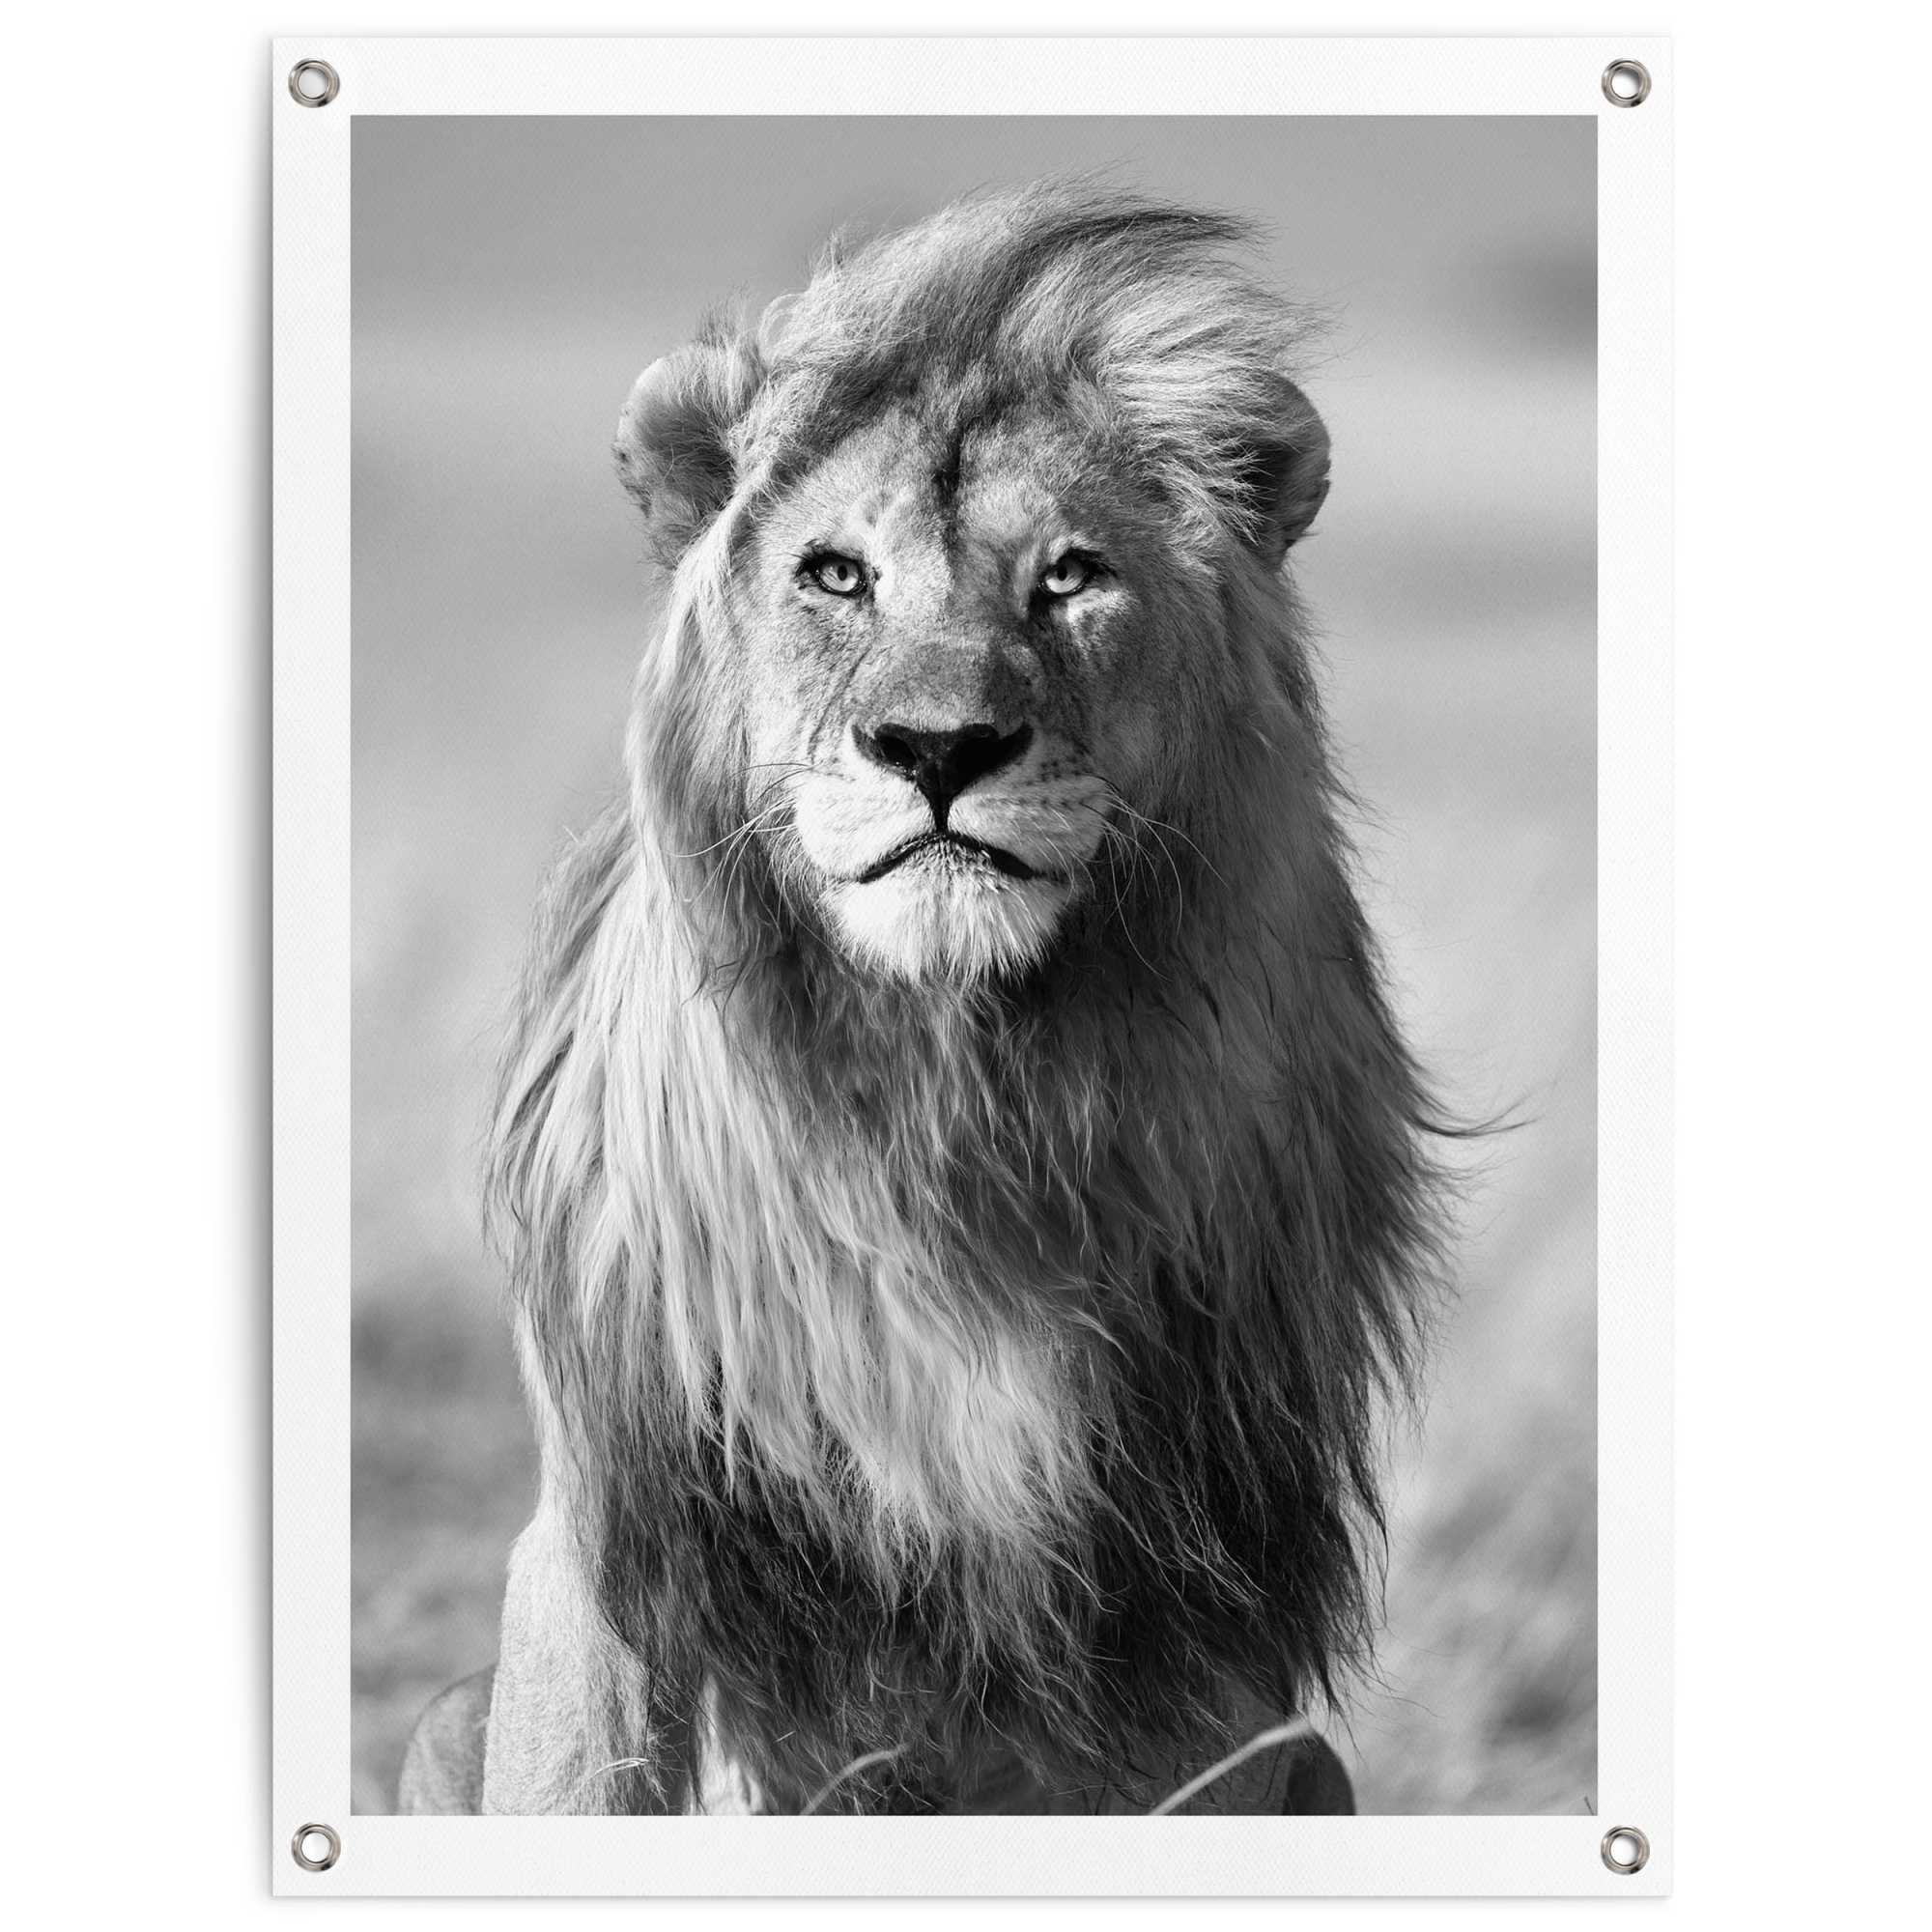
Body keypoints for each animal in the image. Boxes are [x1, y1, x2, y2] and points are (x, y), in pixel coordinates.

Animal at [399, 181, 1442, 1817]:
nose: (938, 747)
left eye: (1069, 576)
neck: (954, 1098)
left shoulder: (1195, 1593)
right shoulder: (625, 1522)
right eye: (837, 574)